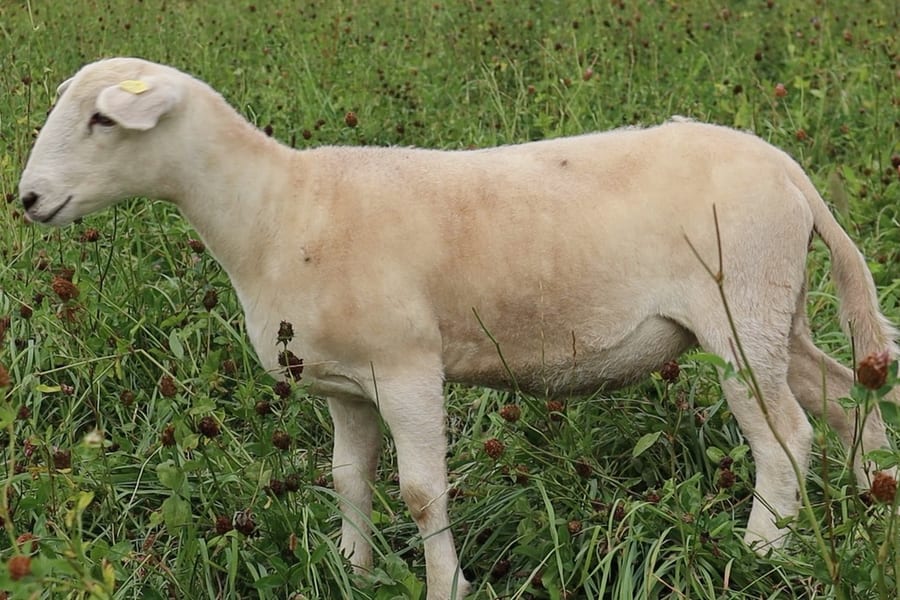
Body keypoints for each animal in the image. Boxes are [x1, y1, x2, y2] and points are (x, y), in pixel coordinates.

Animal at [18, 57, 898, 599]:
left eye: (103, 121)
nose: (26, 200)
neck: (276, 210)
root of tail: (790, 173)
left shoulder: (408, 366)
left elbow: (419, 489)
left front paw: (445, 584)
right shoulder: (345, 384)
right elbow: (348, 477)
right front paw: (354, 568)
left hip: (739, 308)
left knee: (785, 435)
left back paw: (760, 553)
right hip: (773, 309)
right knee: (841, 398)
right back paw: (875, 497)